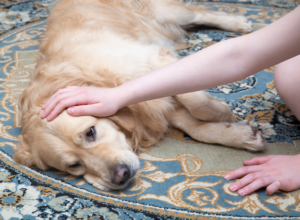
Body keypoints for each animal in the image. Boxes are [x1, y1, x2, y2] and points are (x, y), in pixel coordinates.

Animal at [14, 0, 264, 191]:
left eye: (90, 132)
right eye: (74, 165)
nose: (120, 175)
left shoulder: (153, 59)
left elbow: (195, 101)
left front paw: (221, 113)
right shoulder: (155, 106)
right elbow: (193, 126)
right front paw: (238, 134)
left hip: (164, 12)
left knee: (199, 12)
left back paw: (239, 22)